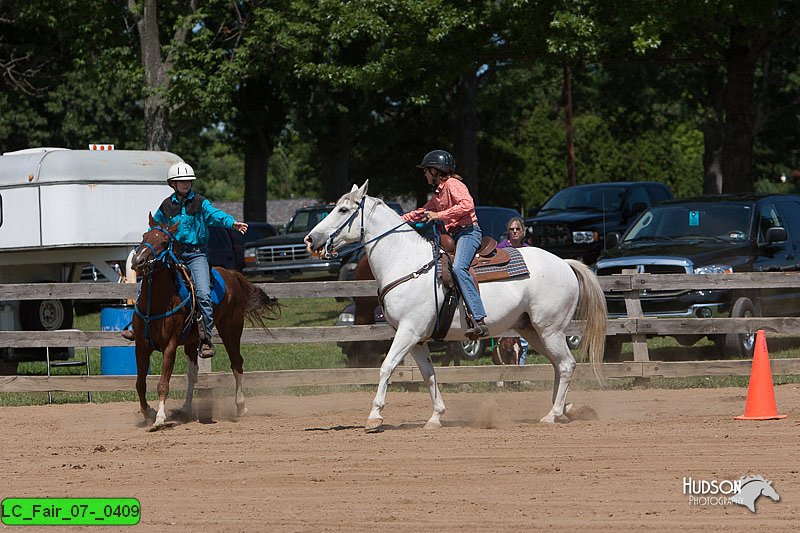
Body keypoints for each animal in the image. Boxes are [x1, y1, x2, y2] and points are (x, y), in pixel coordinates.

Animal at [130, 213, 280, 428]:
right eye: (144, 236)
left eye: (164, 241)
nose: (139, 260)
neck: (156, 303)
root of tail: (231, 273)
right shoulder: (141, 346)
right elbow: (140, 384)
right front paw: (148, 412)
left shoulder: (169, 346)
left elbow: (163, 384)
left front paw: (159, 419)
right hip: (192, 341)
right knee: (193, 374)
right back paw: (185, 409)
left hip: (231, 330)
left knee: (237, 363)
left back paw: (241, 406)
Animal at [306, 181, 608, 430]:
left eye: (343, 210)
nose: (310, 239)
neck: (406, 262)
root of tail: (565, 263)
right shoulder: (418, 339)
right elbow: (428, 374)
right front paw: (435, 417)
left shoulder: (407, 332)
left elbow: (387, 367)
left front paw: (374, 417)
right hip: (532, 330)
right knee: (558, 365)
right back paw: (563, 409)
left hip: (550, 329)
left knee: (566, 365)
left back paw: (552, 415)